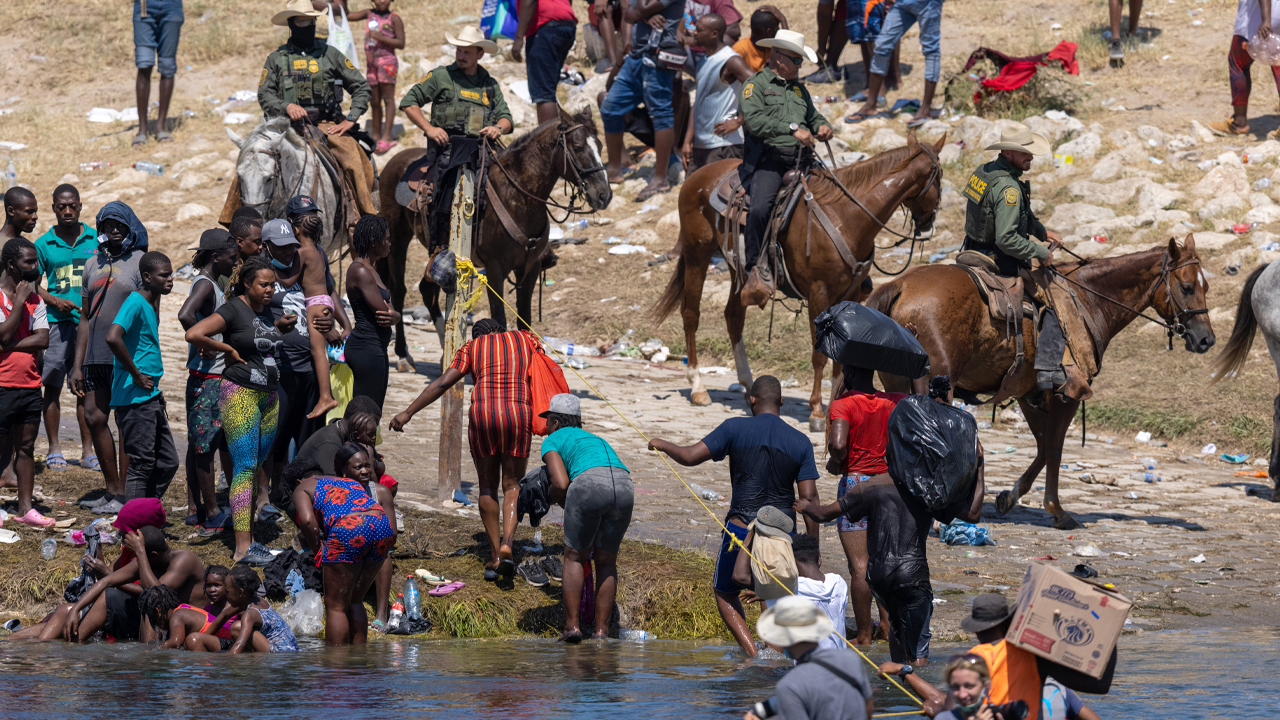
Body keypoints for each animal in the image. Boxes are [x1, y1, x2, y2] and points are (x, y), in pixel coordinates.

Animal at [376, 106, 611, 363]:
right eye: (577, 147)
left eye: (600, 146)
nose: (604, 195)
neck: (519, 196)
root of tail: (395, 161)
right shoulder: (495, 268)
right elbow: (500, 319)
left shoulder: (529, 269)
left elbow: (525, 322)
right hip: (397, 238)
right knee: (398, 290)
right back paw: (402, 354)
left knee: (427, 290)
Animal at [655, 130, 947, 425]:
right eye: (940, 177)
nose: (928, 223)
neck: (846, 216)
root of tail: (696, 175)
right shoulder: (819, 292)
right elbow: (820, 355)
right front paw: (816, 411)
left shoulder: (850, 295)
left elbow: (842, 354)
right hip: (697, 253)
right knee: (691, 313)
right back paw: (698, 387)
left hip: (736, 268)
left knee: (733, 317)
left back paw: (748, 384)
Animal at [865, 237, 1213, 527]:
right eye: (1185, 286)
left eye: (1205, 286)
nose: (1206, 339)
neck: (1088, 300)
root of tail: (900, 285)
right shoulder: (1065, 395)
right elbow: (1055, 449)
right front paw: (1056, 510)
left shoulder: (1028, 394)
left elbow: (1043, 447)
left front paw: (1009, 496)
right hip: (938, 384)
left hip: (898, 380)